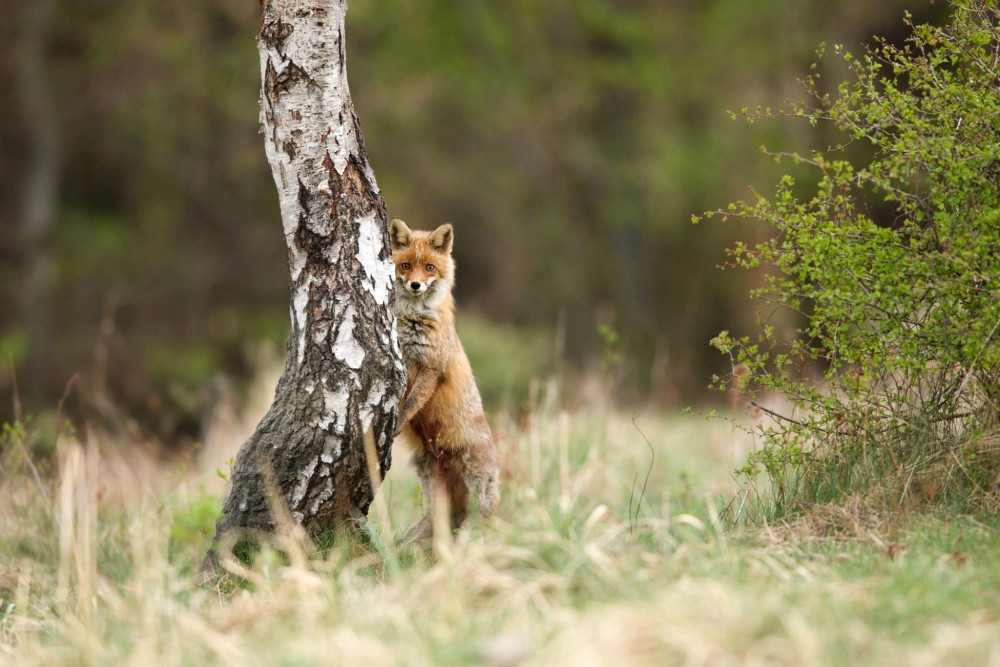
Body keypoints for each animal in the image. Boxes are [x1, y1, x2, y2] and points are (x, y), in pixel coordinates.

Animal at [388, 217, 500, 544]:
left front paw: (398, 421)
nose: (415, 285)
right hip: (433, 490)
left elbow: (412, 401)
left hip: (481, 491)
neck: (411, 320)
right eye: (405, 266)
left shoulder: (431, 368)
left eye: (429, 268)